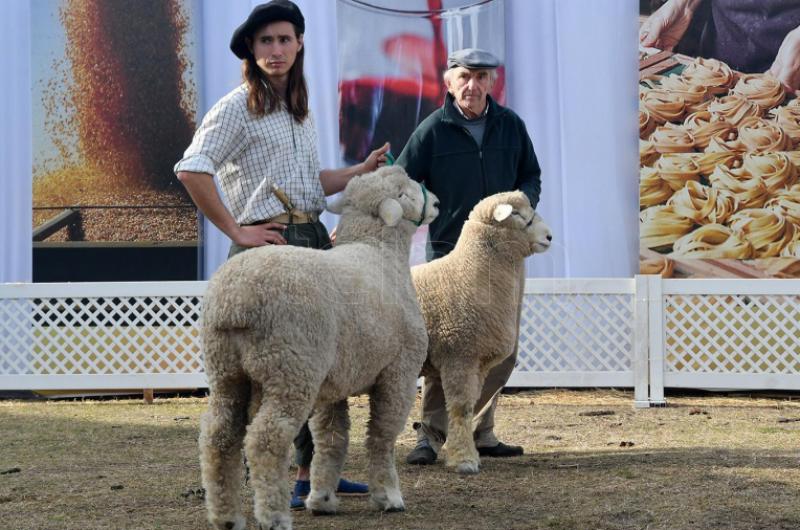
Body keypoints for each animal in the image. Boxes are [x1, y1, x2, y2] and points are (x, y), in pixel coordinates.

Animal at [198, 167, 438, 528]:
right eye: (403, 192)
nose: (435, 202)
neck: (378, 251)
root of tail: (235, 300)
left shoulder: (334, 382)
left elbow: (331, 438)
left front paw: (322, 498)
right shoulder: (400, 372)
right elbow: (382, 435)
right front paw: (388, 496)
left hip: (227, 371)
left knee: (219, 436)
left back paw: (226, 516)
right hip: (292, 368)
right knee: (266, 439)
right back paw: (274, 515)